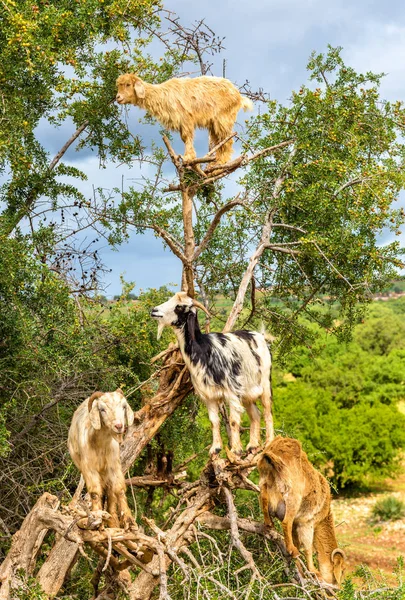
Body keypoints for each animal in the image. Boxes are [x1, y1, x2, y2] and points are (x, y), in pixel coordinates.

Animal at [114, 74, 252, 165]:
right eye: (119, 86)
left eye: (128, 84)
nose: (118, 97)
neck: (162, 96)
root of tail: (238, 96)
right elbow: (183, 138)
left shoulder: (186, 119)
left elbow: (187, 137)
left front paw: (188, 157)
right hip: (214, 123)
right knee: (219, 140)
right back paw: (215, 161)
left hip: (223, 118)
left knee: (227, 139)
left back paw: (221, 162)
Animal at [150, 292, 274, 458]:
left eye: (179, 306)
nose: (154, 311)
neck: (204, 349)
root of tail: (260, 336)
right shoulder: (209, 396)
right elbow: (214, 421)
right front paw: (215, 448)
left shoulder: (232, 392)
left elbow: (233, 421)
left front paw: (235, 450)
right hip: (247, 392)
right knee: (255, 414)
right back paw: (252, 445)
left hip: (265, 383)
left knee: (267, 412)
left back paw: (269, 442)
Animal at [258, 436, 346, 584]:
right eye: (342, 571)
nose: (338, 588)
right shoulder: (307, 522)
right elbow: (308, 547)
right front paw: (314, 571)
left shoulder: (297, 524)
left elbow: (298, 542)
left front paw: (300, 569)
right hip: (293, 496)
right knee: (286, 522)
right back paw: (292, 551)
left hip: (264, 482)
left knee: (263, 498)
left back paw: (269, 524)